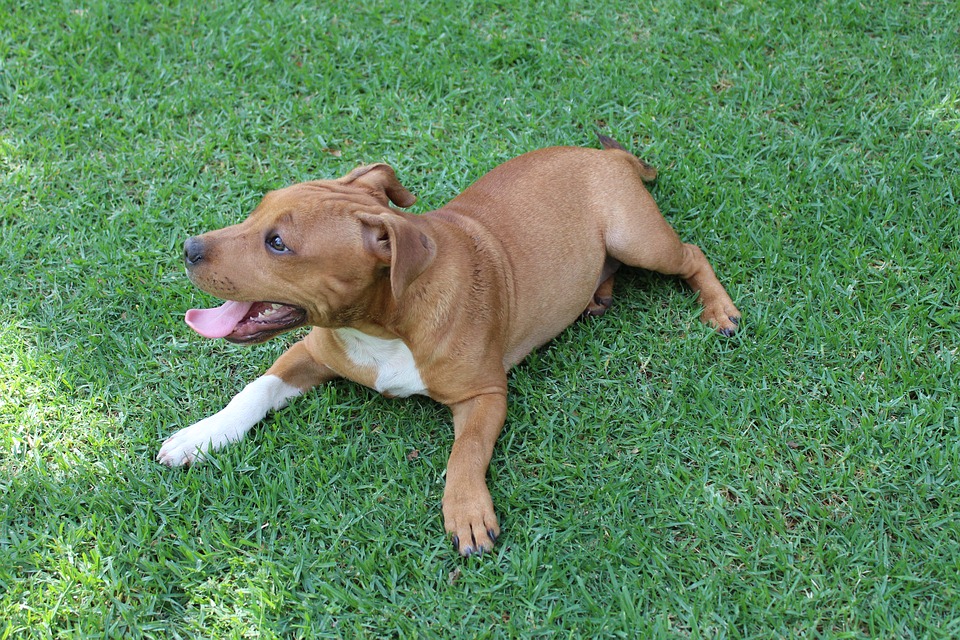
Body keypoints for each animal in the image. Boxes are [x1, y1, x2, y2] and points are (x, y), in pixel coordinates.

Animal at [159, 135, 744, 556]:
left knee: (691, 254)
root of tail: (607, 156)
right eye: (257, 212)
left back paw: (720, 310)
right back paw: (598, 294)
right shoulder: (309, 352)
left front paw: (466, 511)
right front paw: (200, 436)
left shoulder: (485, 395)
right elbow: (253, 391)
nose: (189, 247)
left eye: (277, 243)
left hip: (638, 237)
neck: (383, 325)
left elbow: (466, 452)